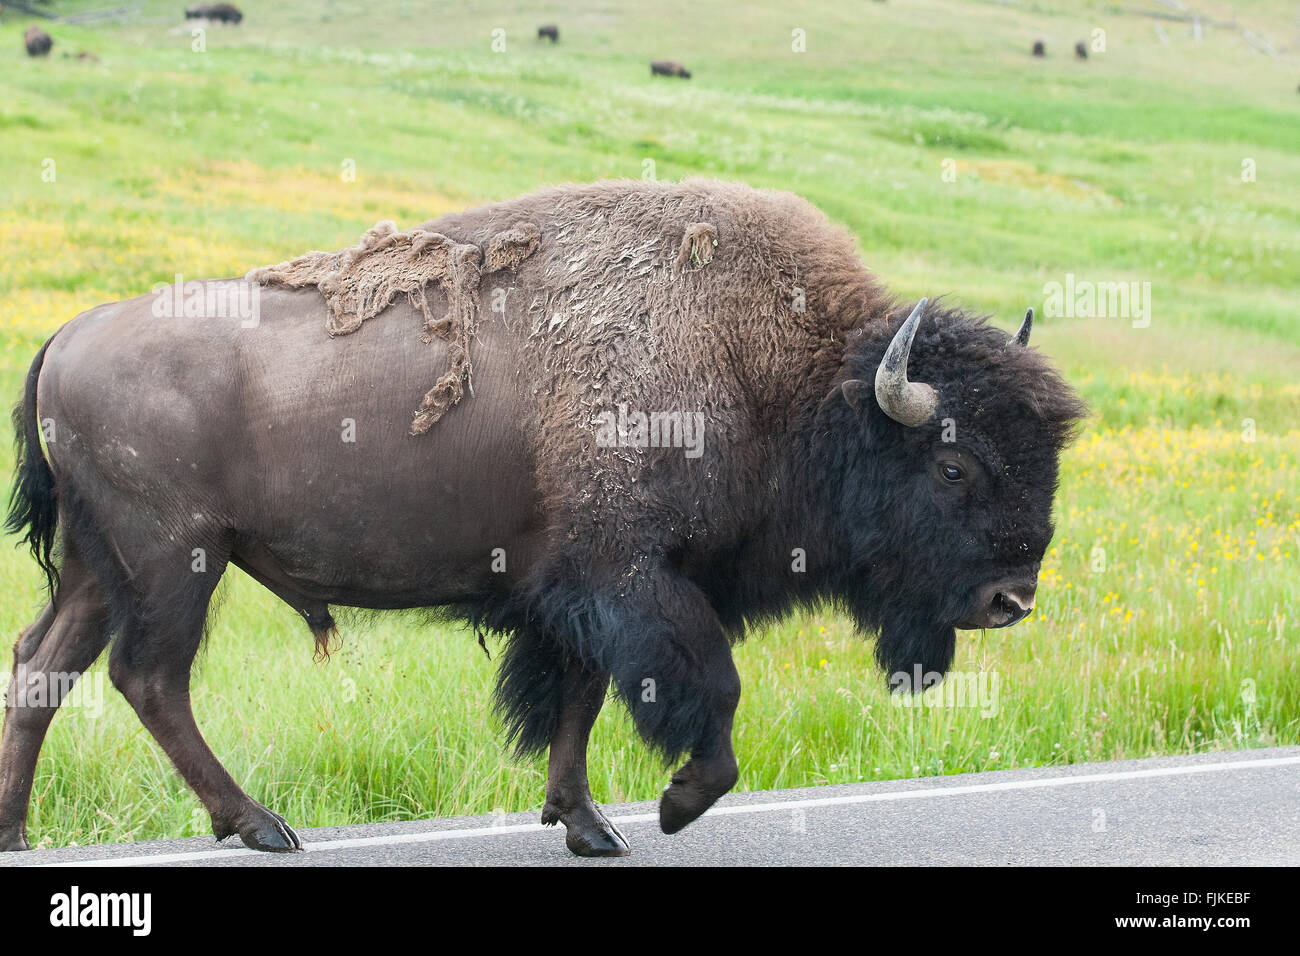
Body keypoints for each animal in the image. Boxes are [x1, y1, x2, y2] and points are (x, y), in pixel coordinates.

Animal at [0, 179, 1086, 858]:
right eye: (952, 461)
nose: (1011, 597)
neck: (784, 373)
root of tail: (68, 336)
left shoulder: (574, 595)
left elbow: (578, 701)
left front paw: (589, 825)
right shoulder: (632, 580)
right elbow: (703, 687)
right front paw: (676, 805)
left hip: (103, 564)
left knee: (44, 666)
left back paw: (20, 829)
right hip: (174, 560)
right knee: (151, 677)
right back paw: (262, 824)